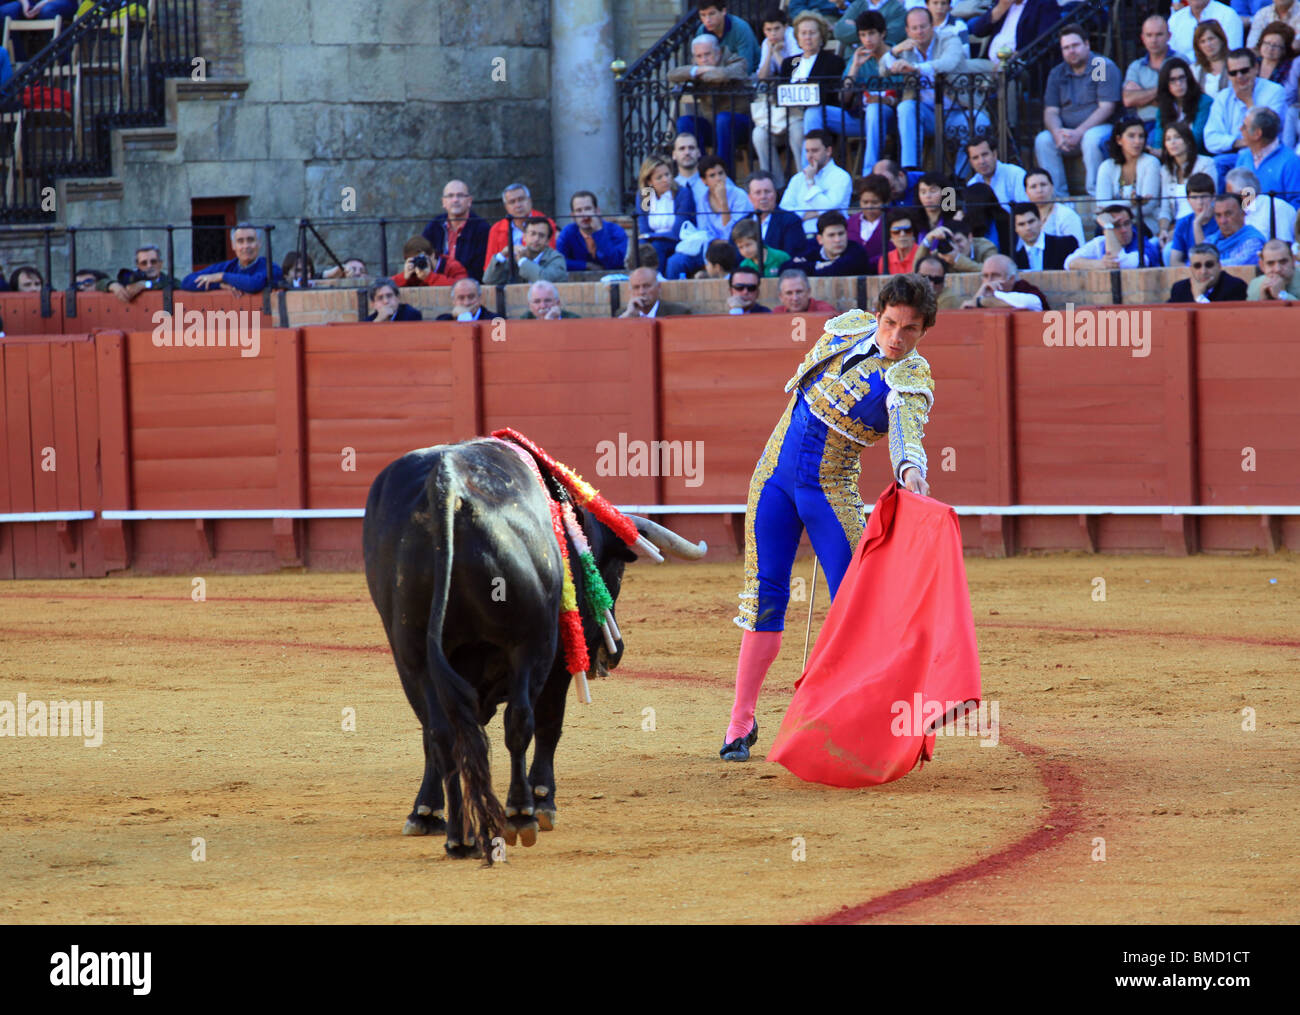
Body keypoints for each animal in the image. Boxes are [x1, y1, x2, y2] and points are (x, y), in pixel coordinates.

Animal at [361, 439, 707, 857]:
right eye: (617, 572)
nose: (615, 652)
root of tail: (447, 483)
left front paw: (427, 812)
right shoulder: (555, 661)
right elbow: (547, 723)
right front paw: (543, 801)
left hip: (410, 654)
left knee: (439, 731)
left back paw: (456, 835)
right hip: (531, 644)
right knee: (520, 722)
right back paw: (521, 813)